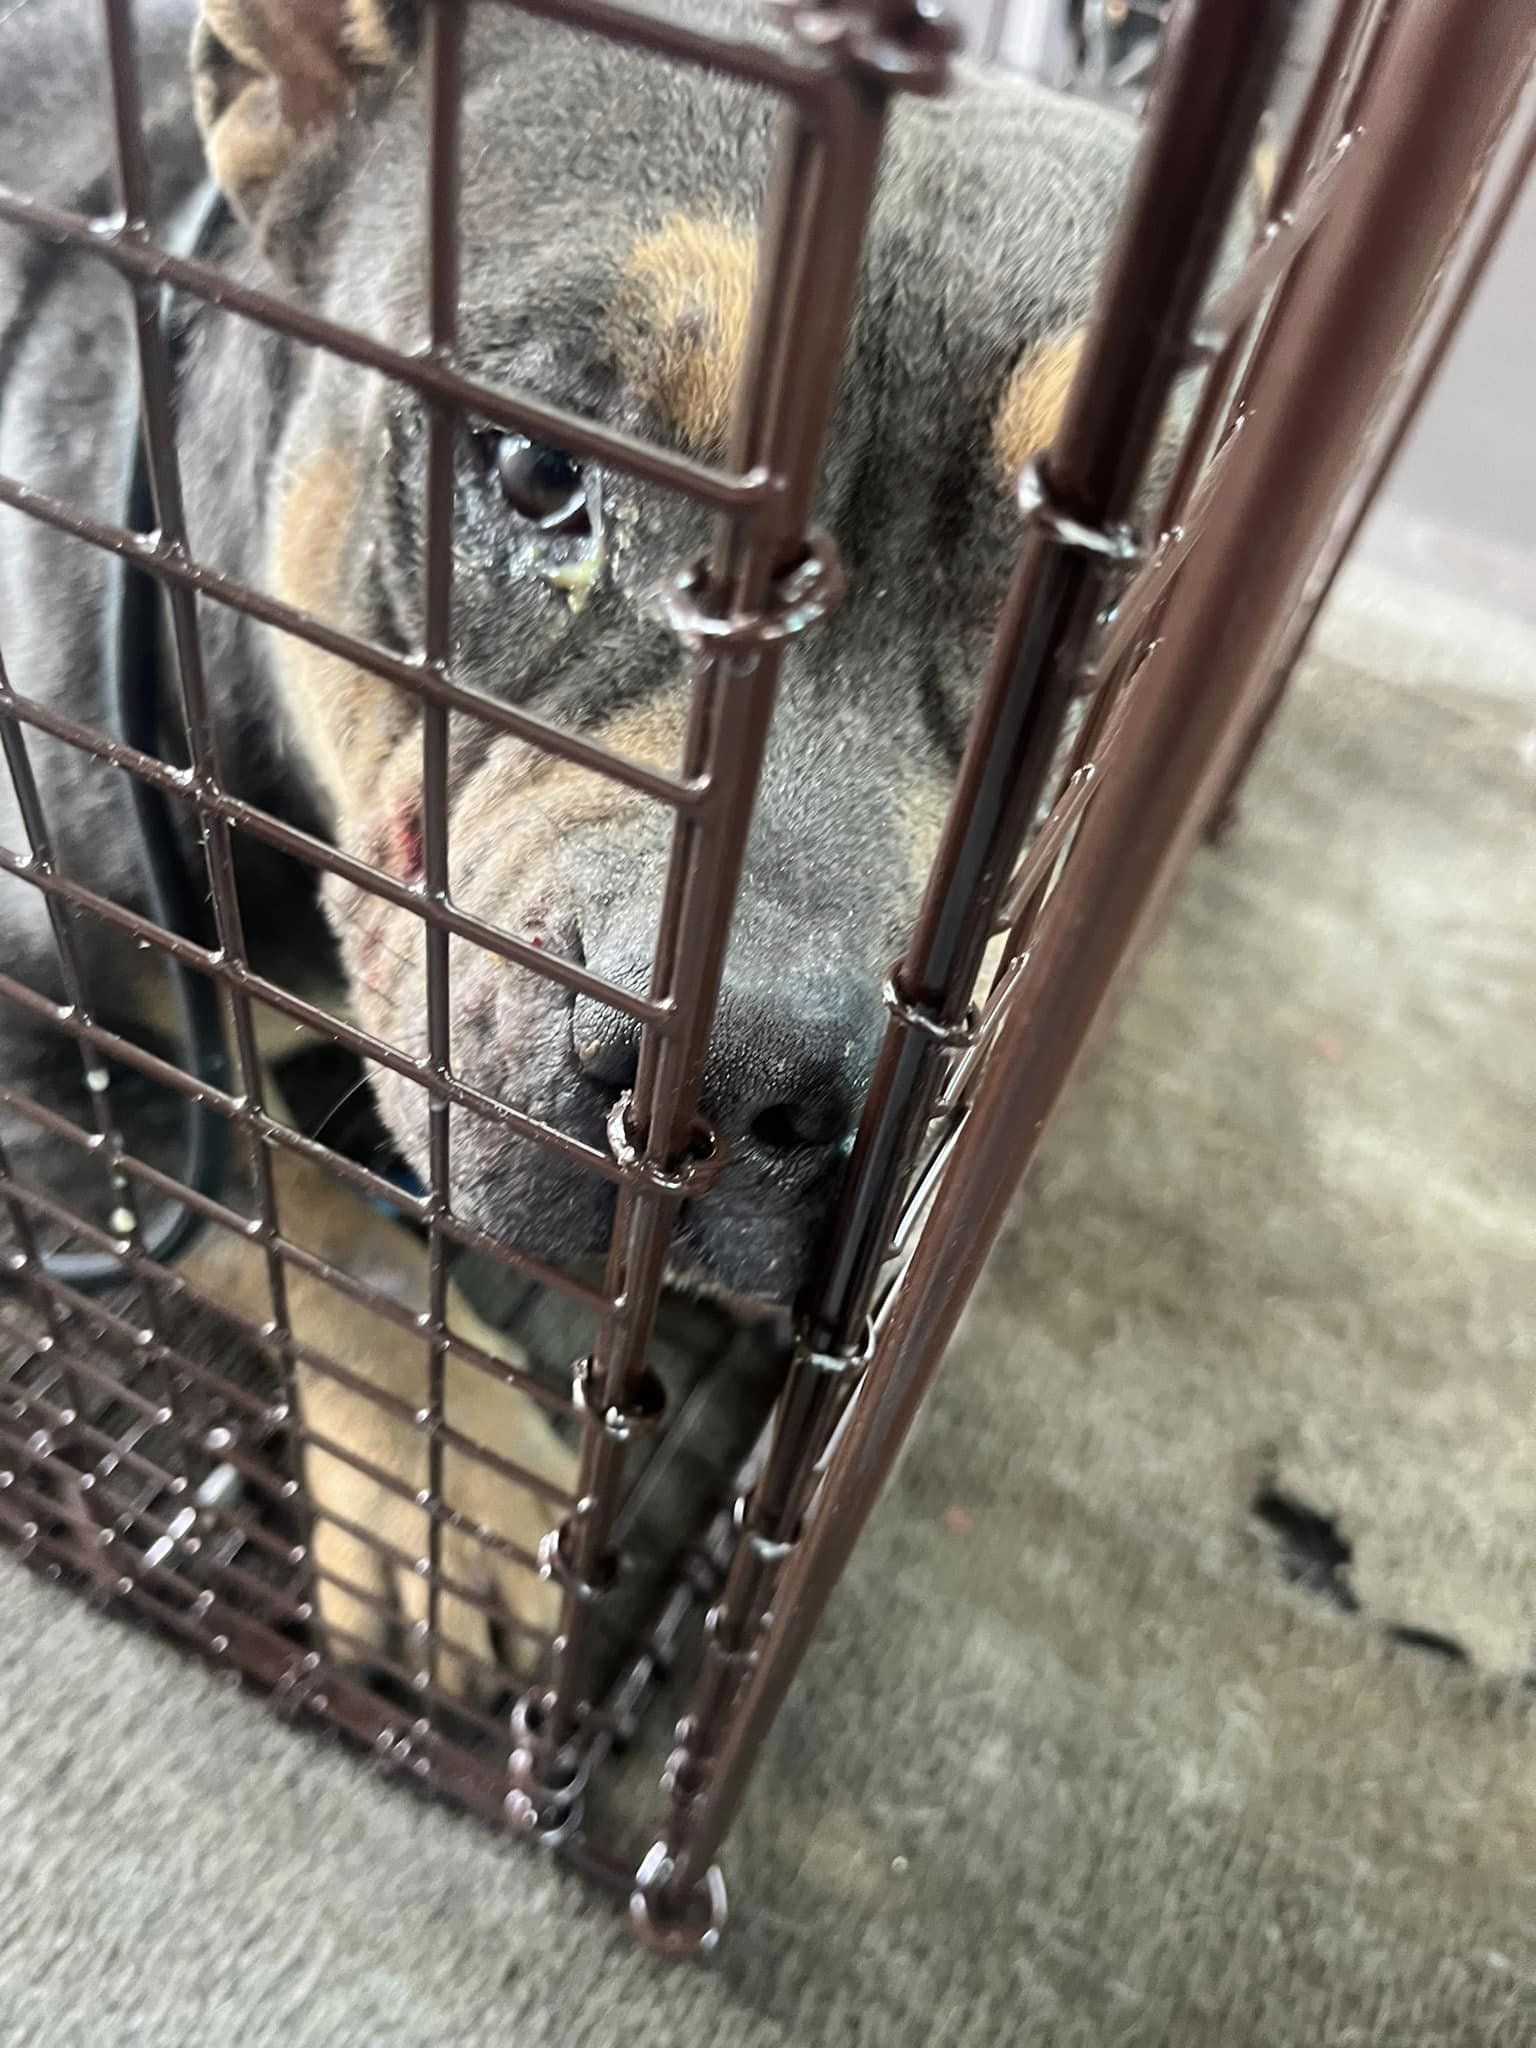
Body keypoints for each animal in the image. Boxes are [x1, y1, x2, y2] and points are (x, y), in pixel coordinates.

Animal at [3, 0, 1146, 1695]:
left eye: (1088, 623)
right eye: (540, 475)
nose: (737, 1074)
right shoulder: (62, 1044)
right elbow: (301, 1216)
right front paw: (455, 1495)